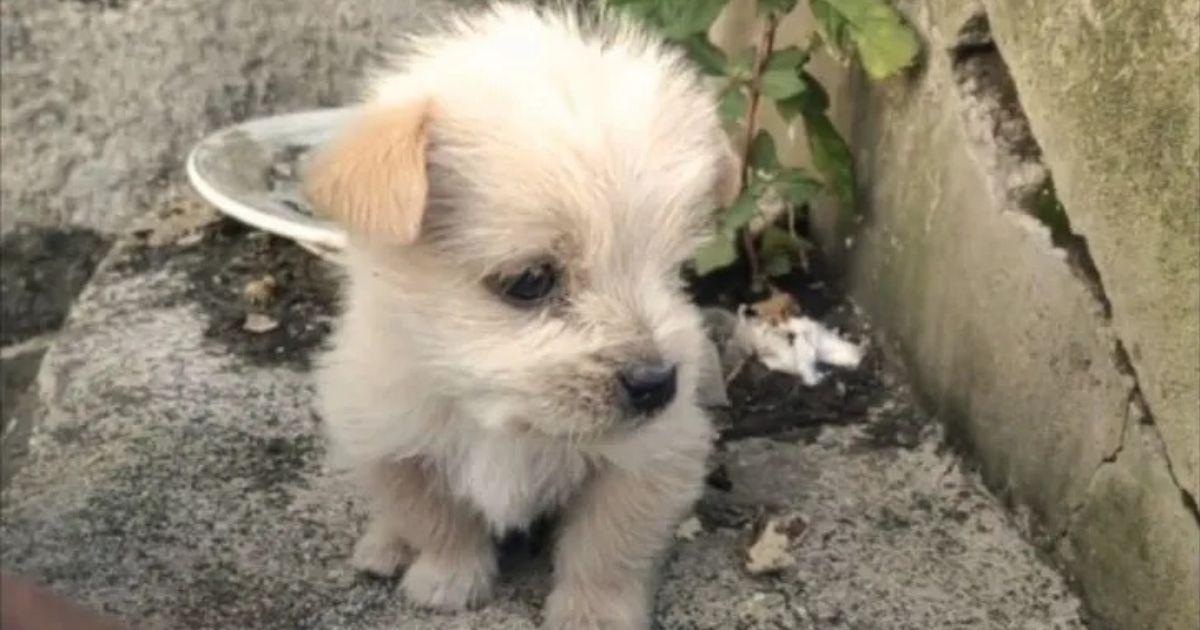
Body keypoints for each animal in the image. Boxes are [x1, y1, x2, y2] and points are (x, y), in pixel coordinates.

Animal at [307, 3, 739, 624]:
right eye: (531, 281)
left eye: (673, 268)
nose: (659, 384)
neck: (499, 418)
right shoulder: (392, 445)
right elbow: (437, 520)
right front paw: (448, 580)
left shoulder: (645, 458)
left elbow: (607, 546)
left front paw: (591, 613)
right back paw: (382, 546)